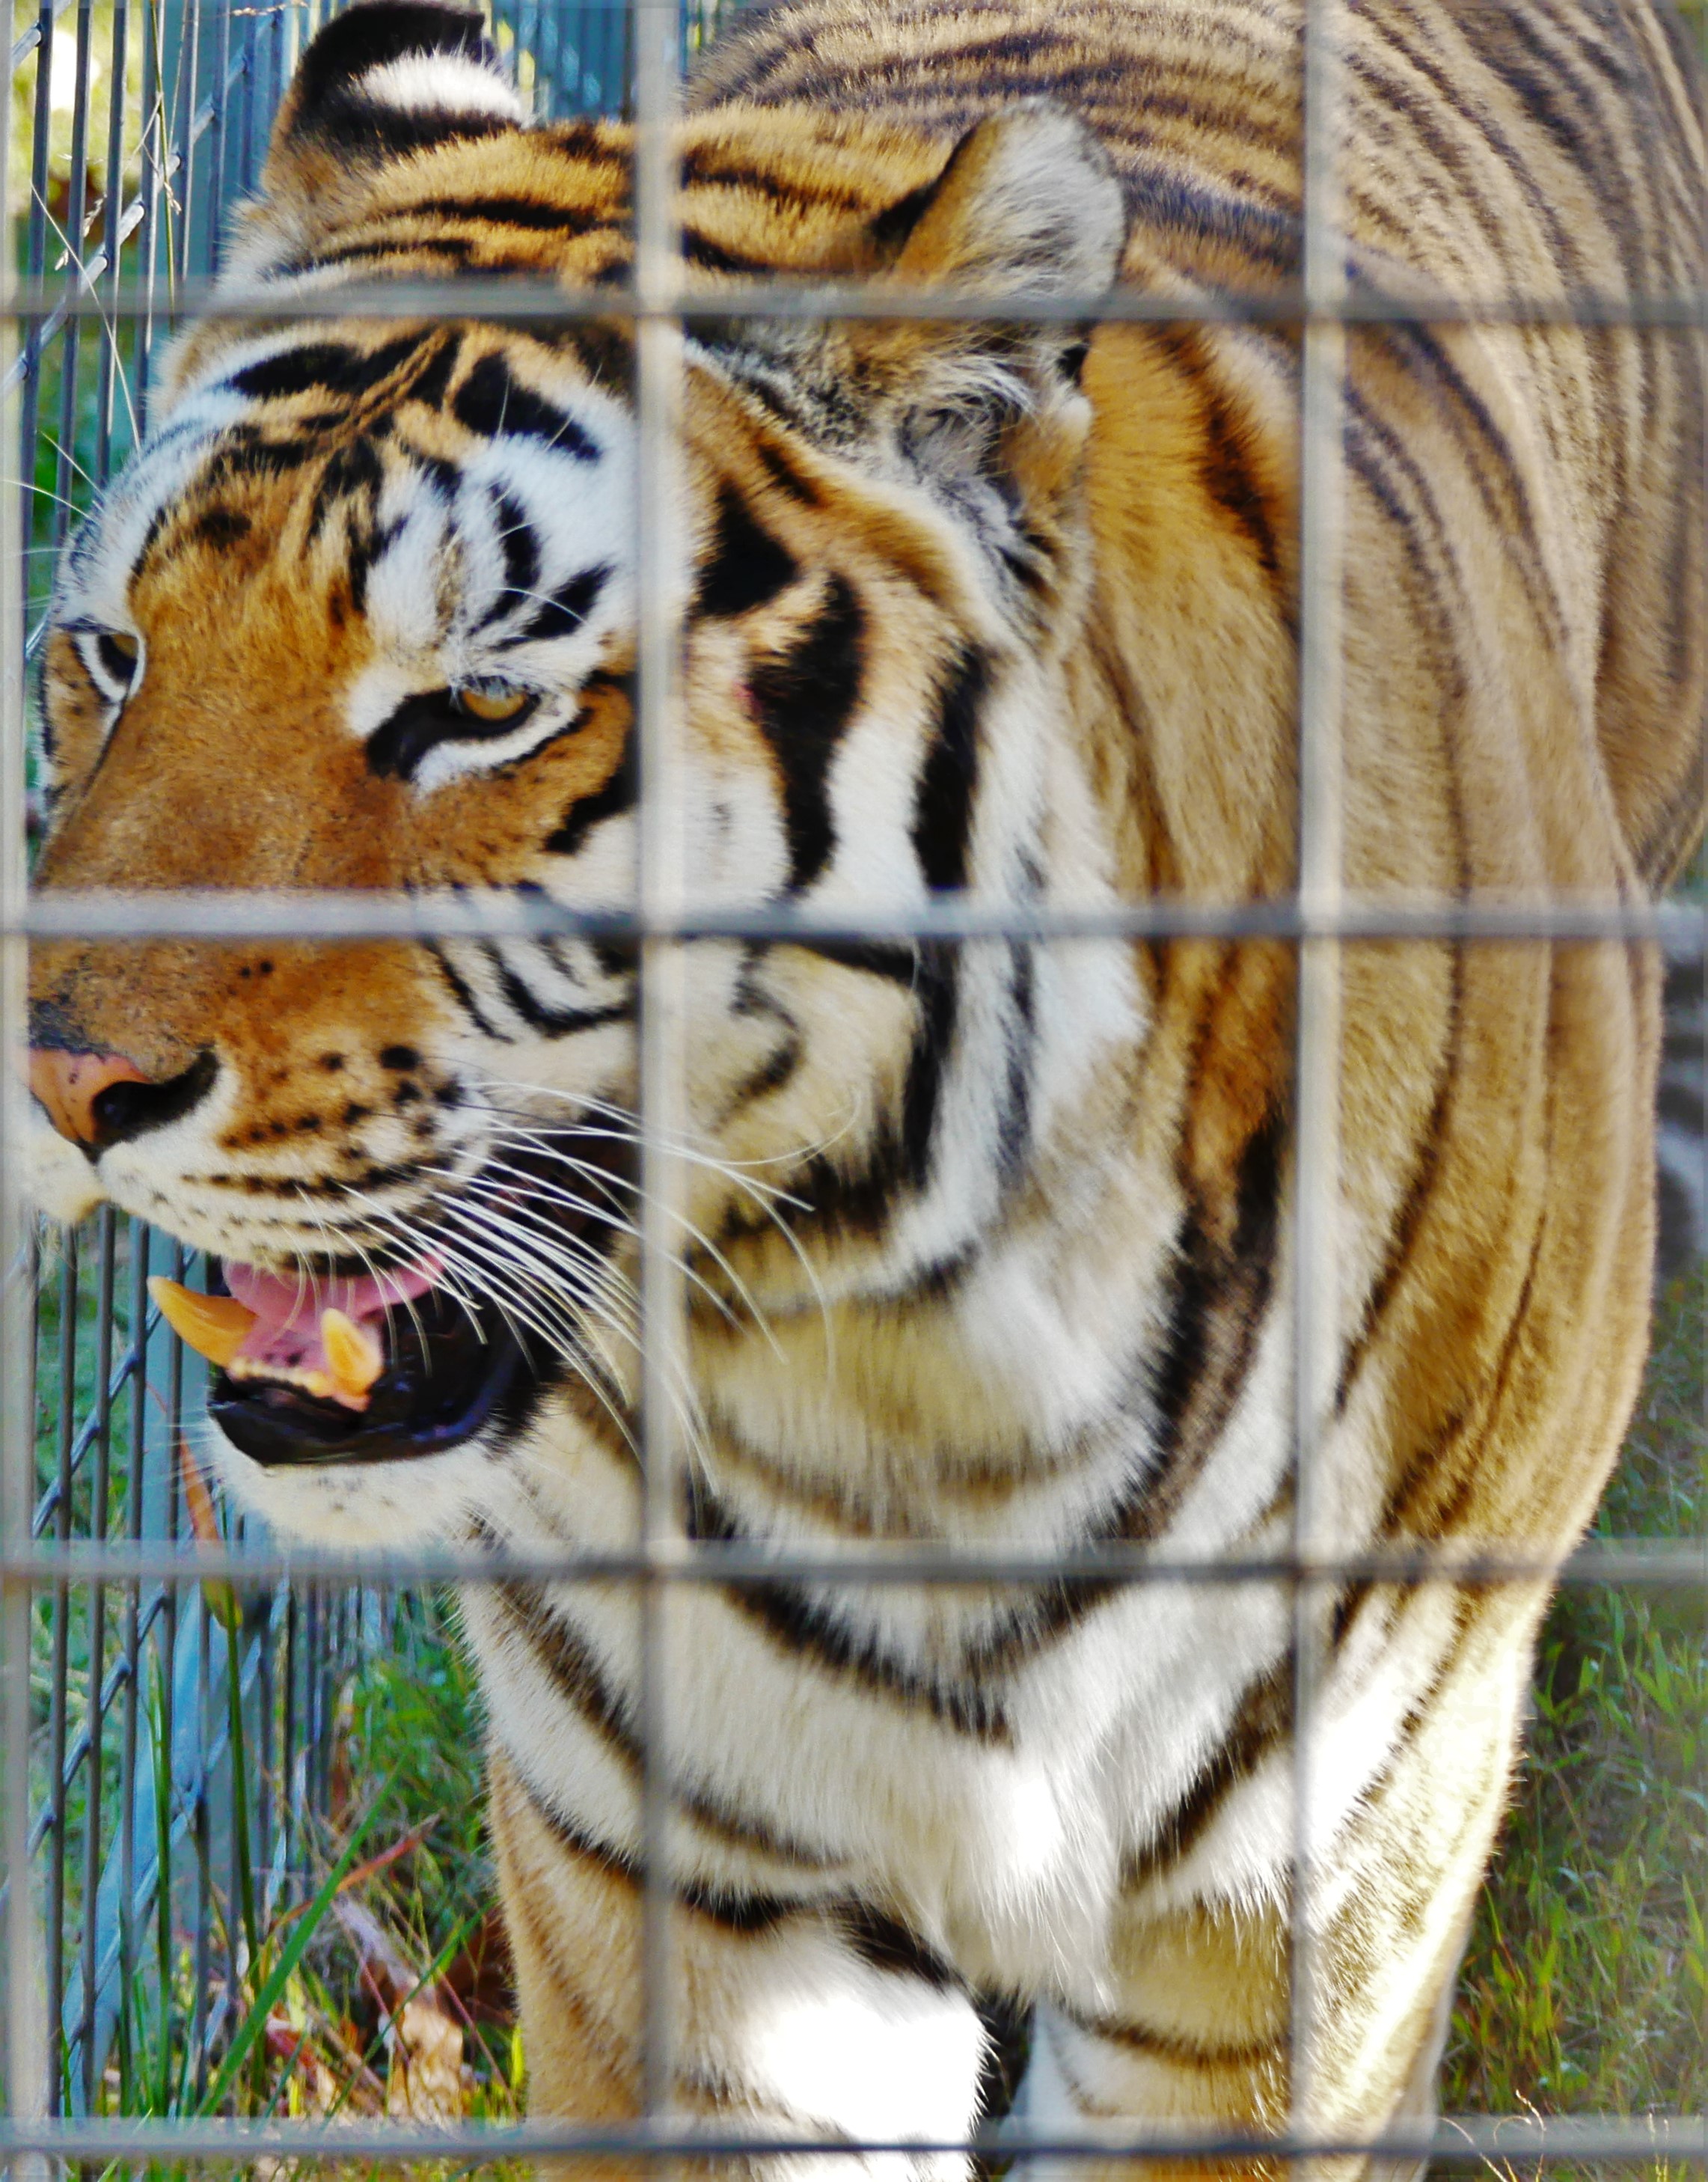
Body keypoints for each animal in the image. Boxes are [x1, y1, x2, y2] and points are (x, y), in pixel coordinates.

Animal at [22, 0, 1706, 2169]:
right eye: (109, 653)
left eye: (480, 704)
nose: (59, 1082)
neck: (908, 1370)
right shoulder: (691, 1894)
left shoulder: (1302, 1917)